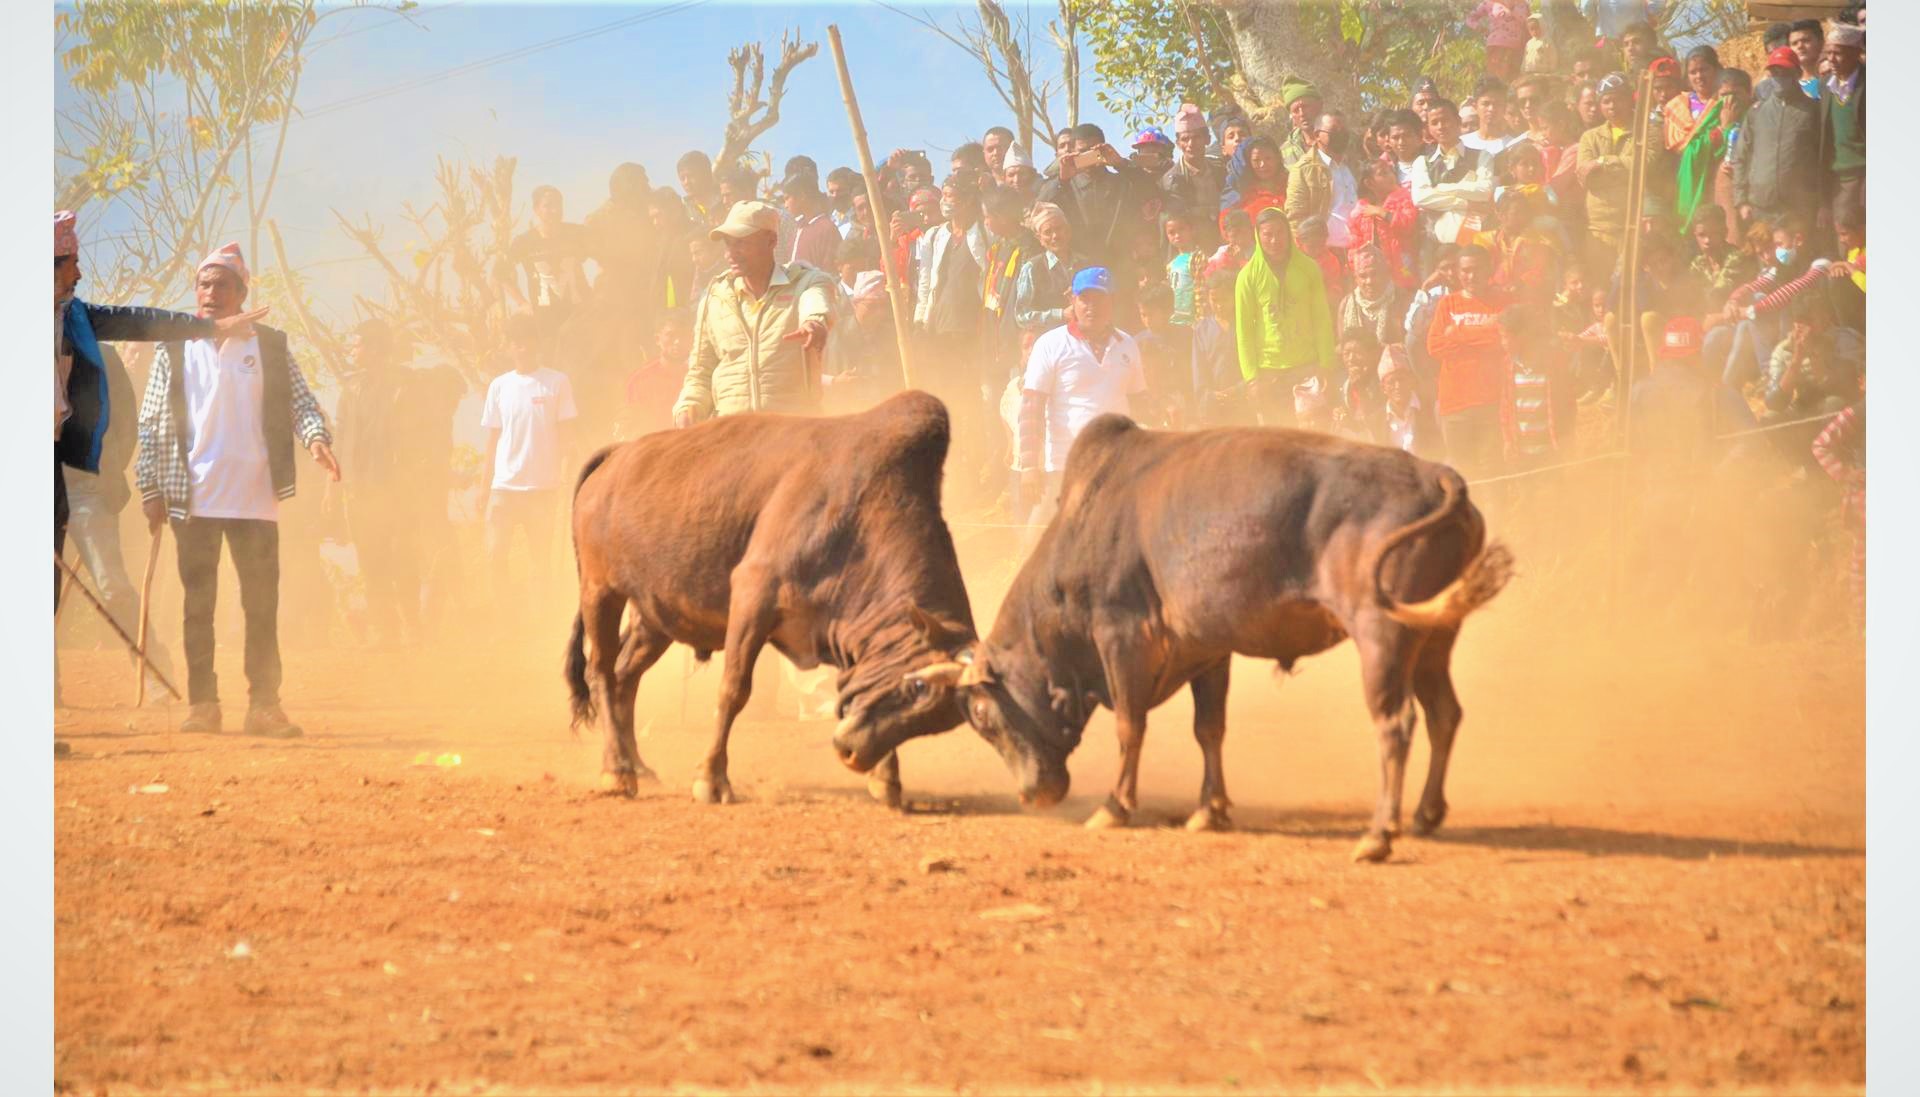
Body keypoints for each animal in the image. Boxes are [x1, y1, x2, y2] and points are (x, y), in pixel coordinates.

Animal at [556, 390, 975, 803]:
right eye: (918, 687)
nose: (853, 753)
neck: (864, 512)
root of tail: (616, 455)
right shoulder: (753, 596)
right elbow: (734, 690)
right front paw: (711, 778)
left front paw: (886, 778)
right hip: (600, 593)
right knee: (601, 673)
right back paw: (617, 771)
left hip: (654, 617)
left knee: (626, 675)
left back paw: (638, 765)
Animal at [933, 416, 1512, 864]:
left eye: (982, 714)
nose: (1033, 794)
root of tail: (1437, 476)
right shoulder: (1208, 652)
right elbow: (1209, 729)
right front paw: (1209, 809)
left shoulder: (1121, 638)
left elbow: (1129, 727)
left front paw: (1115, 807)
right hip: (1434, 639)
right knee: (1443, 714)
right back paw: (1426, 813)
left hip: (1383, 634)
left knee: (1396, 724)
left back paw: (1377, 834)